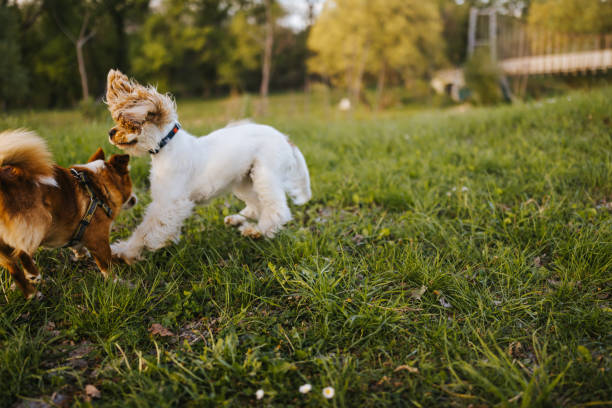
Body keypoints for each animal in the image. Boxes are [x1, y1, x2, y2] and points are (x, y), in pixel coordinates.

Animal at [0, 129, 135, 298]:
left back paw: (32, 294)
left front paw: (82, 253)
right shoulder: (99, 238)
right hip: (40, 219)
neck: (99, 185)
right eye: (129, 180)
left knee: (14, 268)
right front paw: (119, 282)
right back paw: (32, 273)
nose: (135, 199)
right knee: (21, 248)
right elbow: (107, 265)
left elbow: (78, 244)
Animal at [103, 69, 310, 264]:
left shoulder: (169, 204)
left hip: (264, 176)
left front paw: (125, 251)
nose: (110, 132)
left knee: (277, 210)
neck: (167, 146)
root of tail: (284, 138)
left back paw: (257, 231)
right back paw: (237, 220)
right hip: (244, 181)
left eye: (126, 122)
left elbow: (144, 231)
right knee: (257, 206)